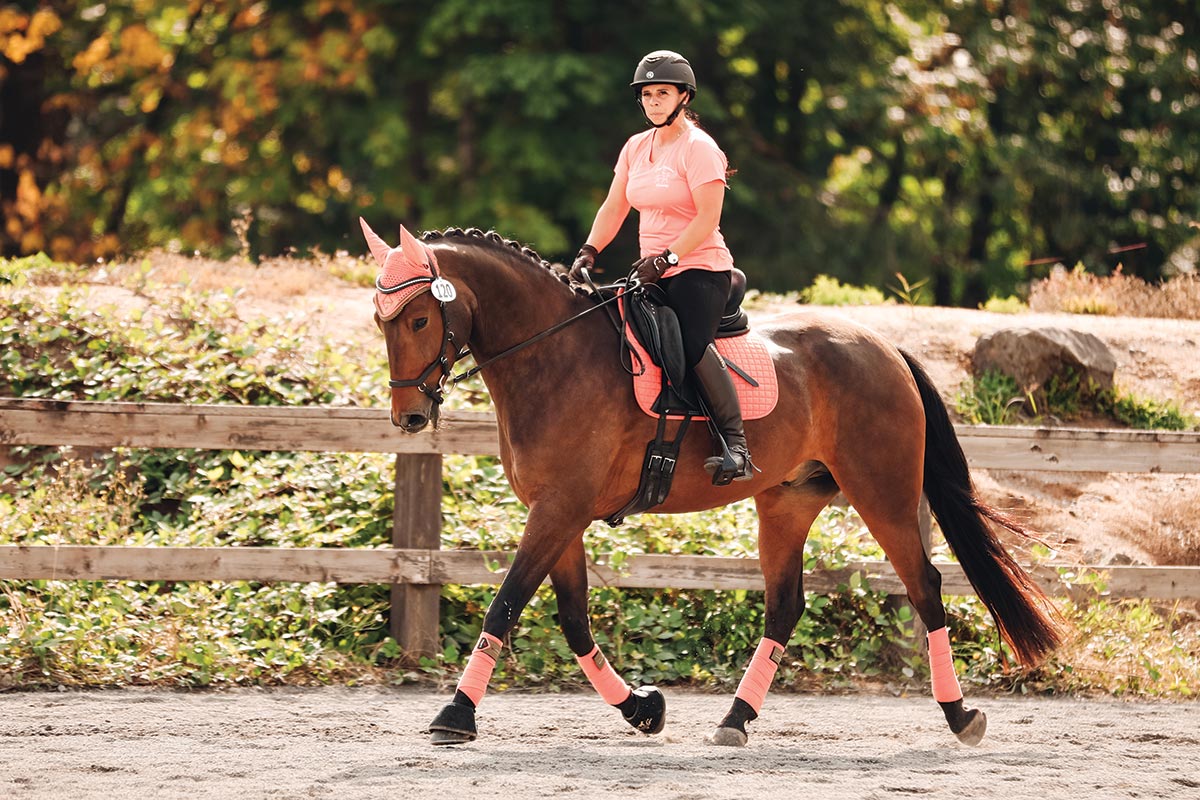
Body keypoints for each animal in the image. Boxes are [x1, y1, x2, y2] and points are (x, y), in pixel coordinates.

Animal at [360, 220, 1065, 753]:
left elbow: (504, 606)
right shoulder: (559, 514)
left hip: (882, 493)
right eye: (381, 320)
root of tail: (884, 347)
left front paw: (454, 715)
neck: (553, 357)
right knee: (785, 605)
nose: (409, 418)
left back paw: (959, 715)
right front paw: (642, 708)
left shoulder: (558, 510)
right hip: (787, 503)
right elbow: (574, 619)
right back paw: (735, 720)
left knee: (925, 587)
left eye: (419, 320)